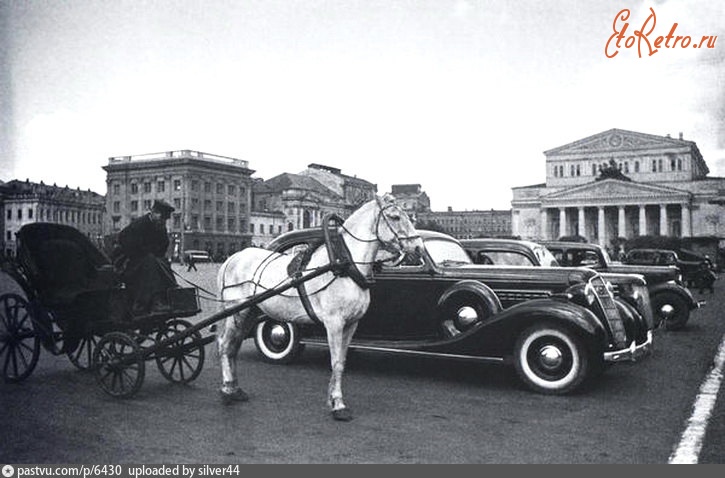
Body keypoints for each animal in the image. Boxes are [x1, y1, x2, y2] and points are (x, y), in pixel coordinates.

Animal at [212, 192, 422, 420]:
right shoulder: (334, 323)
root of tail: (232, 258)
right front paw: (338, 405)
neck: (345, 266)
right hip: (236, 311)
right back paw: (227, 391)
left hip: (250, 312)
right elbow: (335, 362)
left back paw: (234, 388)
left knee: (233, 346)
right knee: (225, 345)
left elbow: (342, 361)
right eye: (394, 217)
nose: (419, 248)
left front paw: (332, 399)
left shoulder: (352, 324)